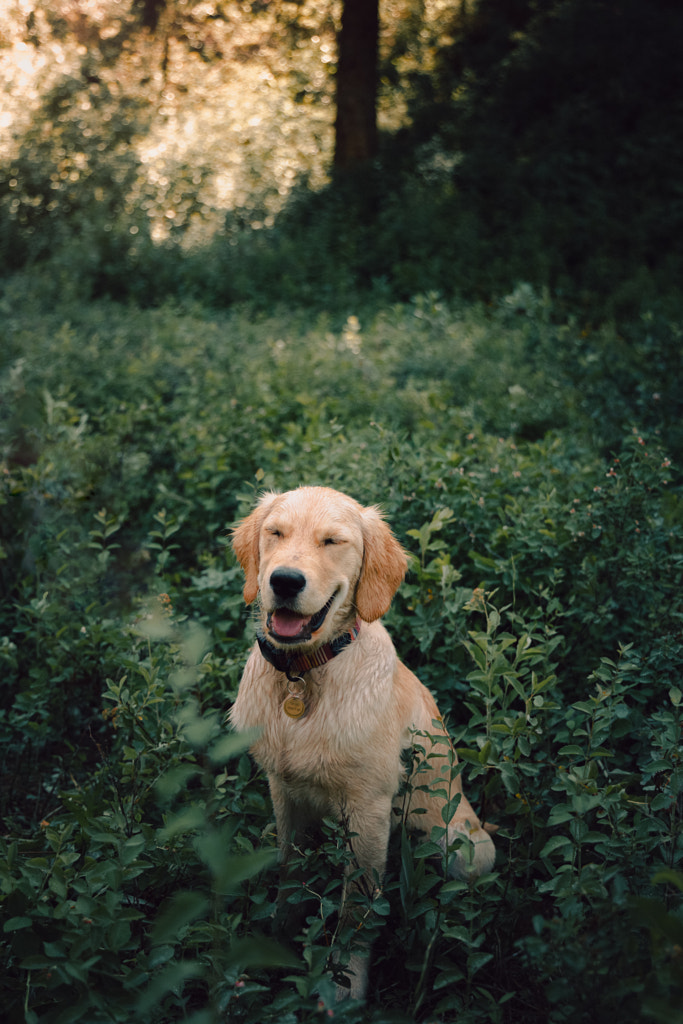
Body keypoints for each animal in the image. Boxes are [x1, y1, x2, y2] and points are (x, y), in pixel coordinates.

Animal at [232, 487, 493, 999]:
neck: (303, 676)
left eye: (333, 541)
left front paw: (344, 984)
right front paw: (274, 945)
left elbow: (357, 910)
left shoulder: (369, 810)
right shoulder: (283, 791)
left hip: (465, 847)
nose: (284, 581)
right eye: (276, 533)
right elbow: (289, 874)